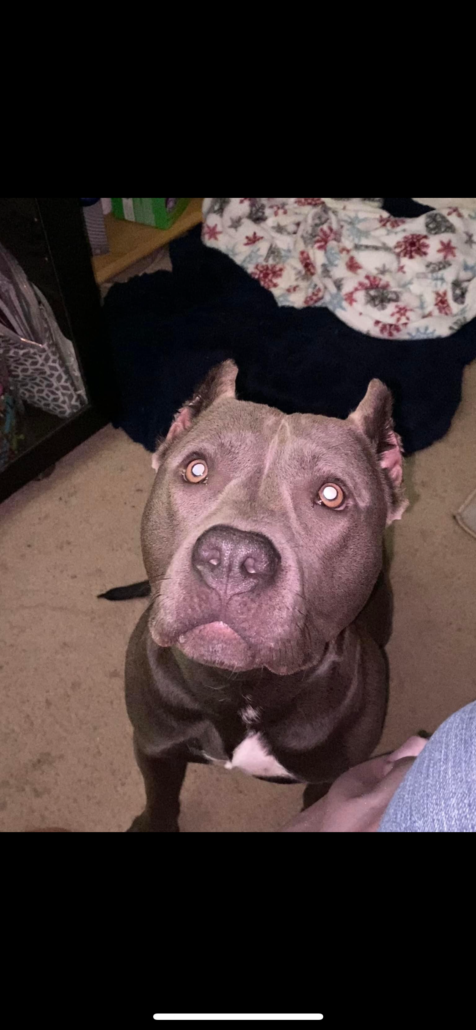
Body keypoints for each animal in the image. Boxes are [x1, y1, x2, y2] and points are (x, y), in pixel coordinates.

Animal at [122, 360, 406, 831]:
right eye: (196, 469)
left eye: (332, 495)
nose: (234, 556)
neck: (240, 691)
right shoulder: (153, 747)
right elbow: (160, 799)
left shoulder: (330, 779)